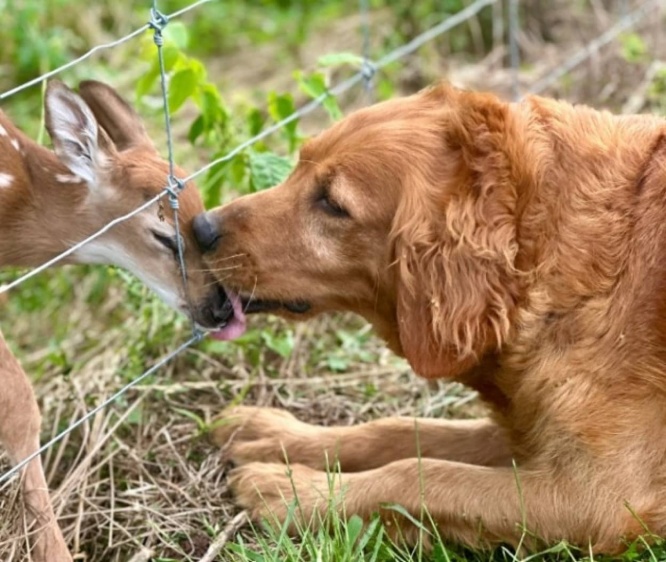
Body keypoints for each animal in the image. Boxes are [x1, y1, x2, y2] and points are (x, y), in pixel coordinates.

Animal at [192, 83, 666, 552]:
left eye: (332, 203)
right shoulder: (530, 430)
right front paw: (279, 437)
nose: (199, 228)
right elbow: (399, 431)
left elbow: (417, 473)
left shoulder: (596, 497)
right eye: (298, 165)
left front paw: (292, 491)